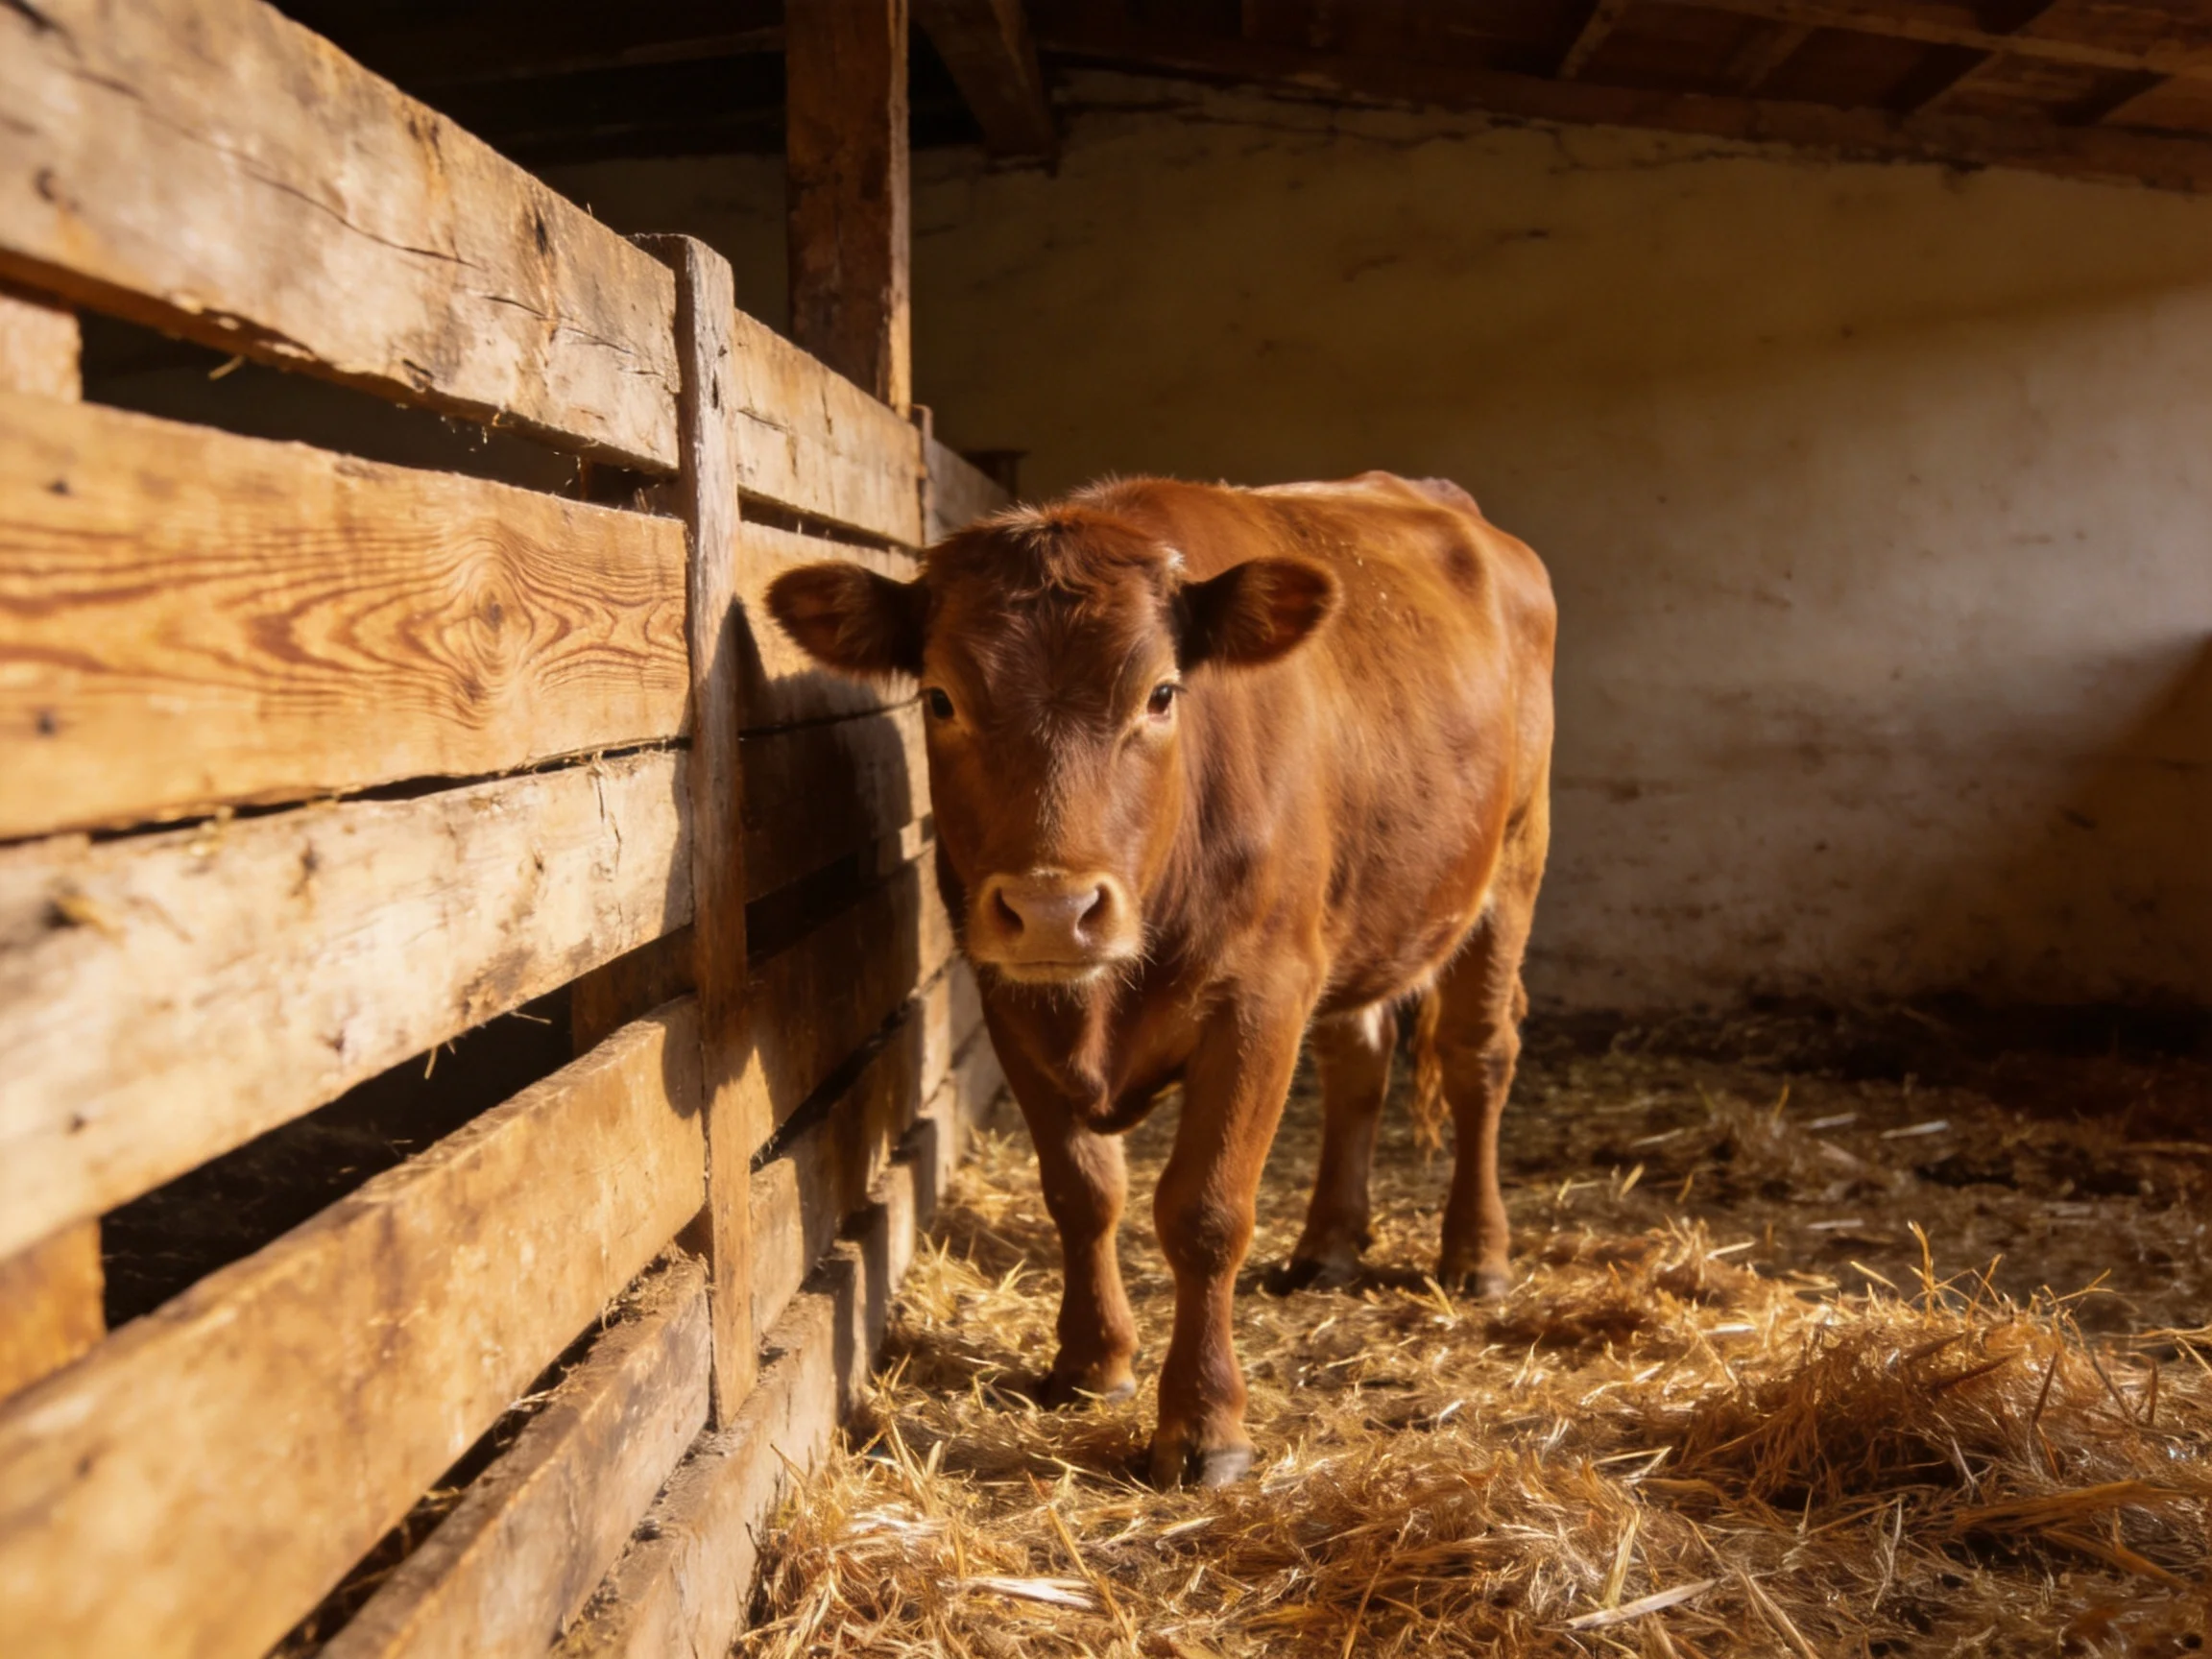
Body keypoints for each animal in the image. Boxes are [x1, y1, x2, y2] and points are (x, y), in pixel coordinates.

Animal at [767, 472, 1555, 1487]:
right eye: (940, 697)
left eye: (1163, 693)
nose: (1054, 909)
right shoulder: (1011, 999)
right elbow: (1082, 1191)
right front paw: (1090, 1361)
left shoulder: (1261, 998)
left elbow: (1205, 1212)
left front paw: (1205, 1425)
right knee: (1359, 1064)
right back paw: (1327, 1248)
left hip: (1512, 864)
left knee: (1476, 1057)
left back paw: (1476, 1254)